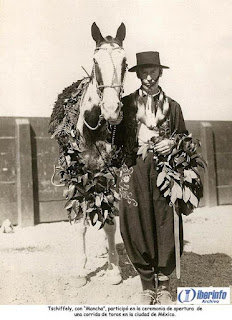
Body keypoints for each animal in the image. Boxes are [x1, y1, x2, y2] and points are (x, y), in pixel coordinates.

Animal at [49, 23, 127, 288]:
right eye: (95, 61)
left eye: (125, 62)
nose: (112, 110)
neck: (91, 131)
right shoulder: (77, 176)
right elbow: (80, 224)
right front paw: (80, 271)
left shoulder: (109, 176)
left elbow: (111, 223)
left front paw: (114, 269)